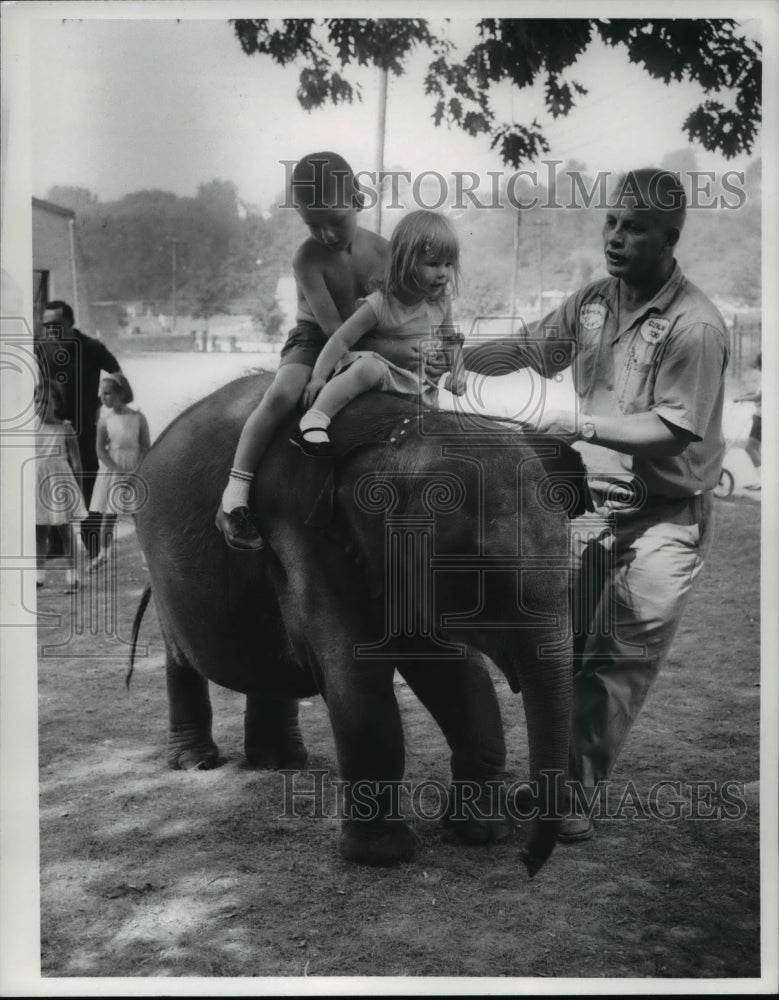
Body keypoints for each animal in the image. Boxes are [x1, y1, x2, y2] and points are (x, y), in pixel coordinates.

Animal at [131, 370, 580, 876]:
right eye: (478, 571)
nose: (528, 862)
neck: (396, 439)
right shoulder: (304, 533)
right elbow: (358, 675)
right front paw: (385, 857)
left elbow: (452, 671)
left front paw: (481, 834)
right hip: (163, 568)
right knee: (182, 661)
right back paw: (196, 763)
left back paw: (281, 762)